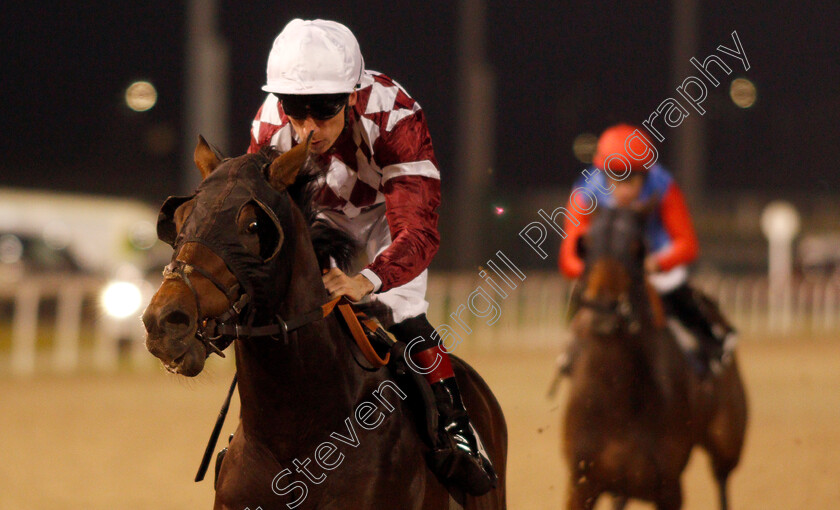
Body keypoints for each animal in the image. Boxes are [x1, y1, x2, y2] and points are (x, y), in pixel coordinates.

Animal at [564, 206, 748, 510]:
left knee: (722, 481)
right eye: (584, 246)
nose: (604, 311)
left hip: (727, 440)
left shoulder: (668, 487)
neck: (617, 398)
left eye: (638, 248)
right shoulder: (582, 484)